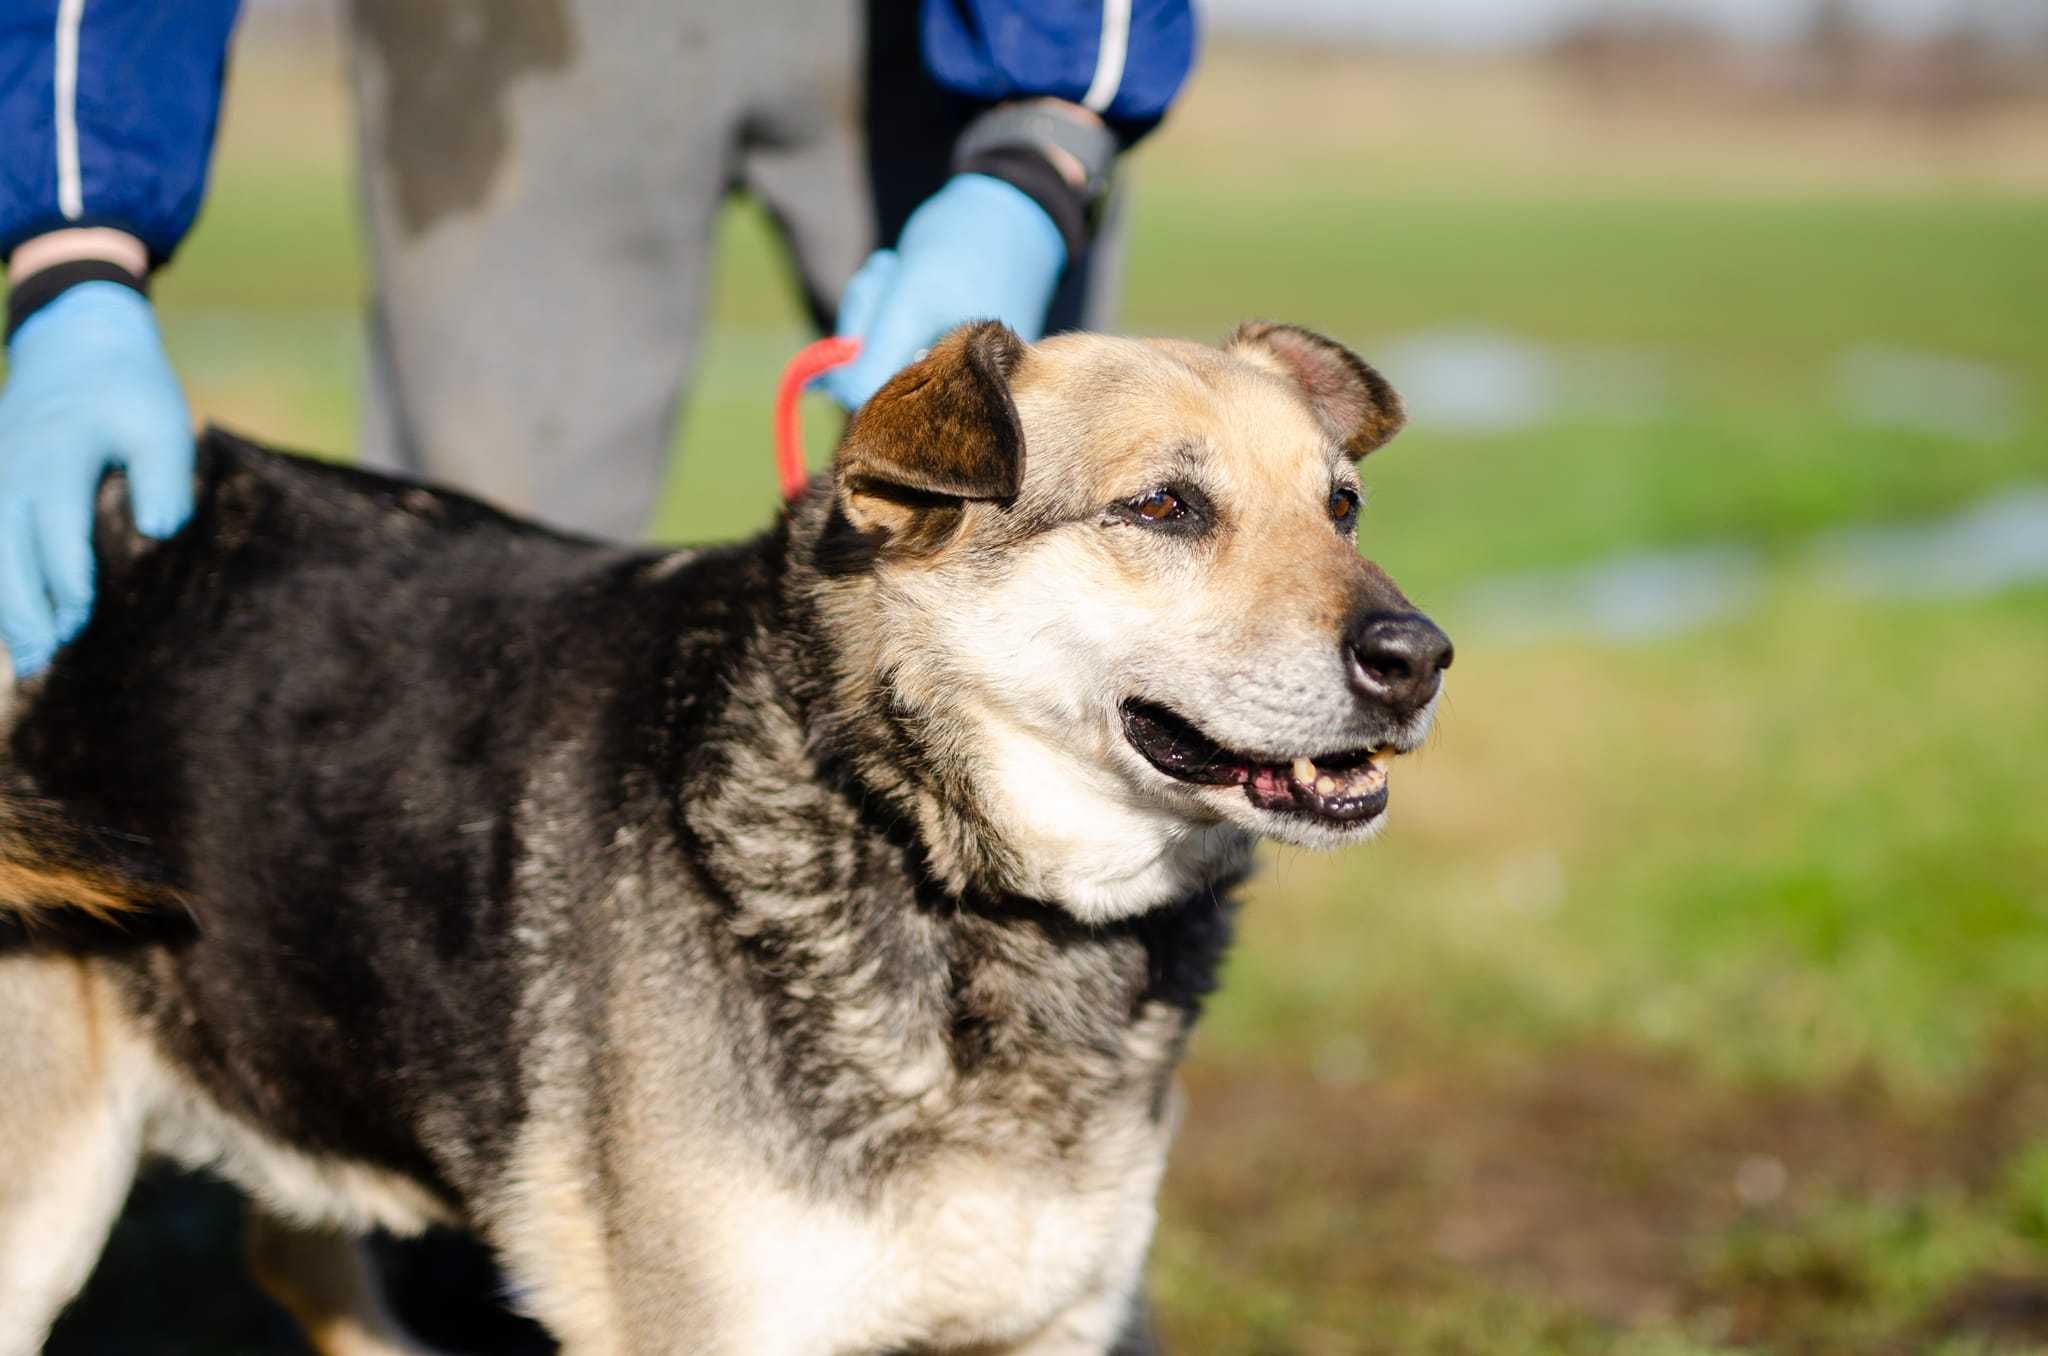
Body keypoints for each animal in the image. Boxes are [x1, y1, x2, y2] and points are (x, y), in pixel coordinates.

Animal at [0, 321, 1449, 1356]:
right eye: (1161, 509)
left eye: (1341, 507)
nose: (1417, 657)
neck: (926, 849)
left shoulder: (1049, 1317)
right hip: (42, 1196)